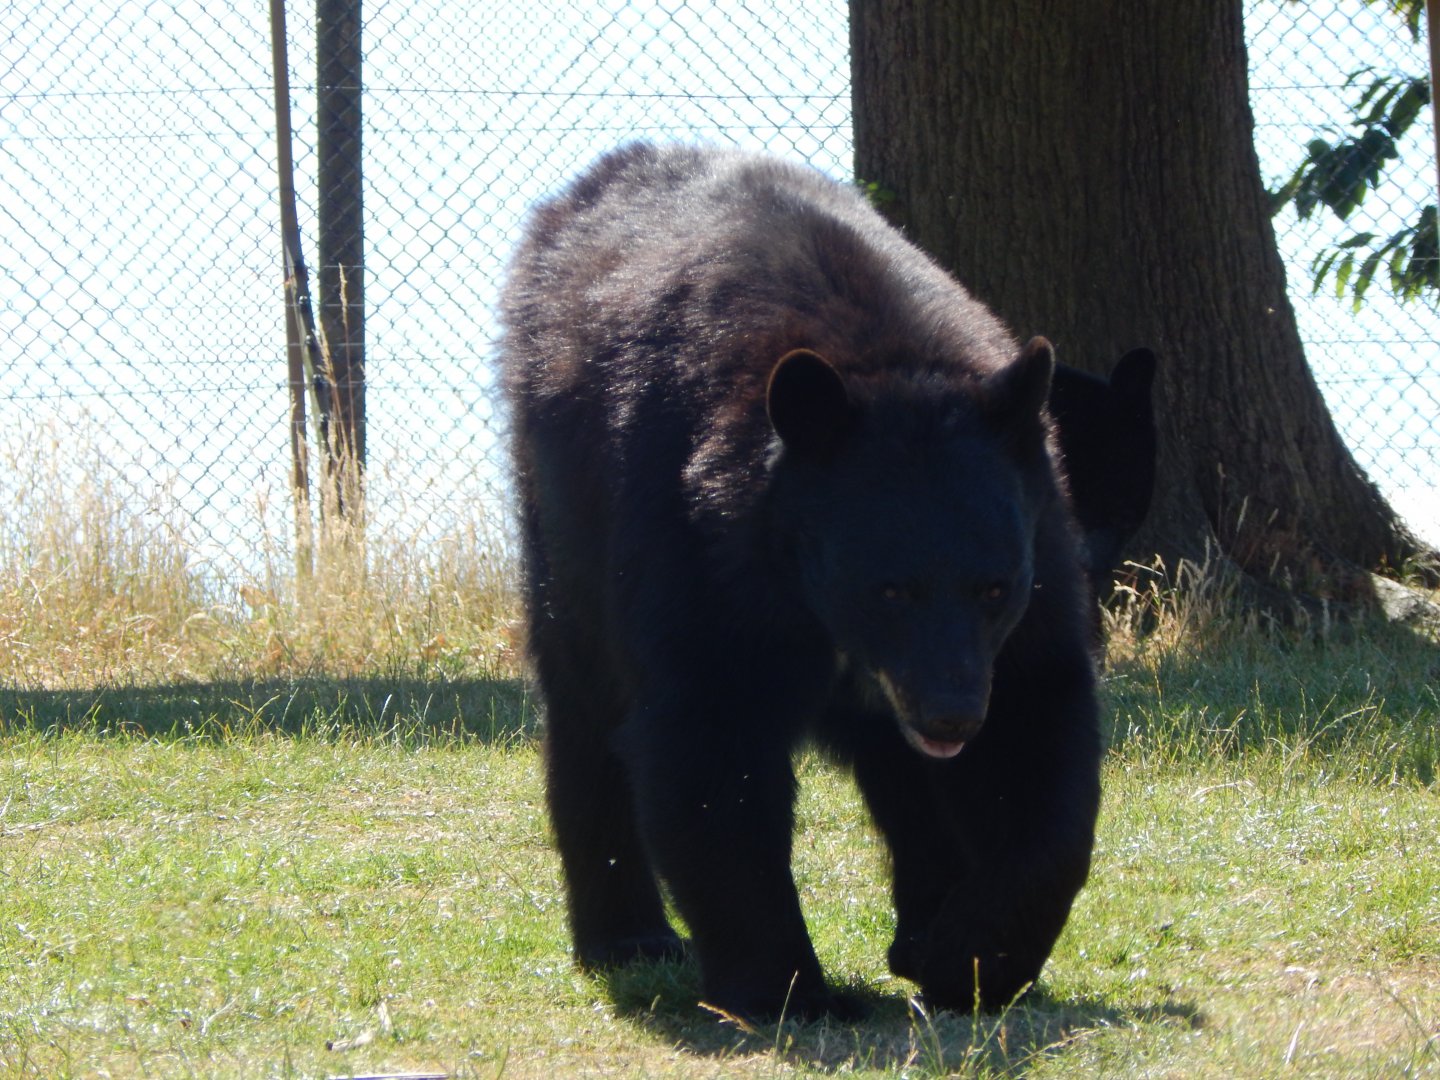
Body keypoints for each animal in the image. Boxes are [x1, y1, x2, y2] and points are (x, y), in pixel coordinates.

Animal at [500, 143, 1102, 1020]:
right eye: (889, 589)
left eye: (996, 588)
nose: (953, 714)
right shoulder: (692, 542)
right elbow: (710, 737)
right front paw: (784, 985)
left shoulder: (1040, 550)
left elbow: (1036, 734)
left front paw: (969, 954)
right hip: (563, 515)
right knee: (585, 700)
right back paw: (628, 935)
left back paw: (921, 922)